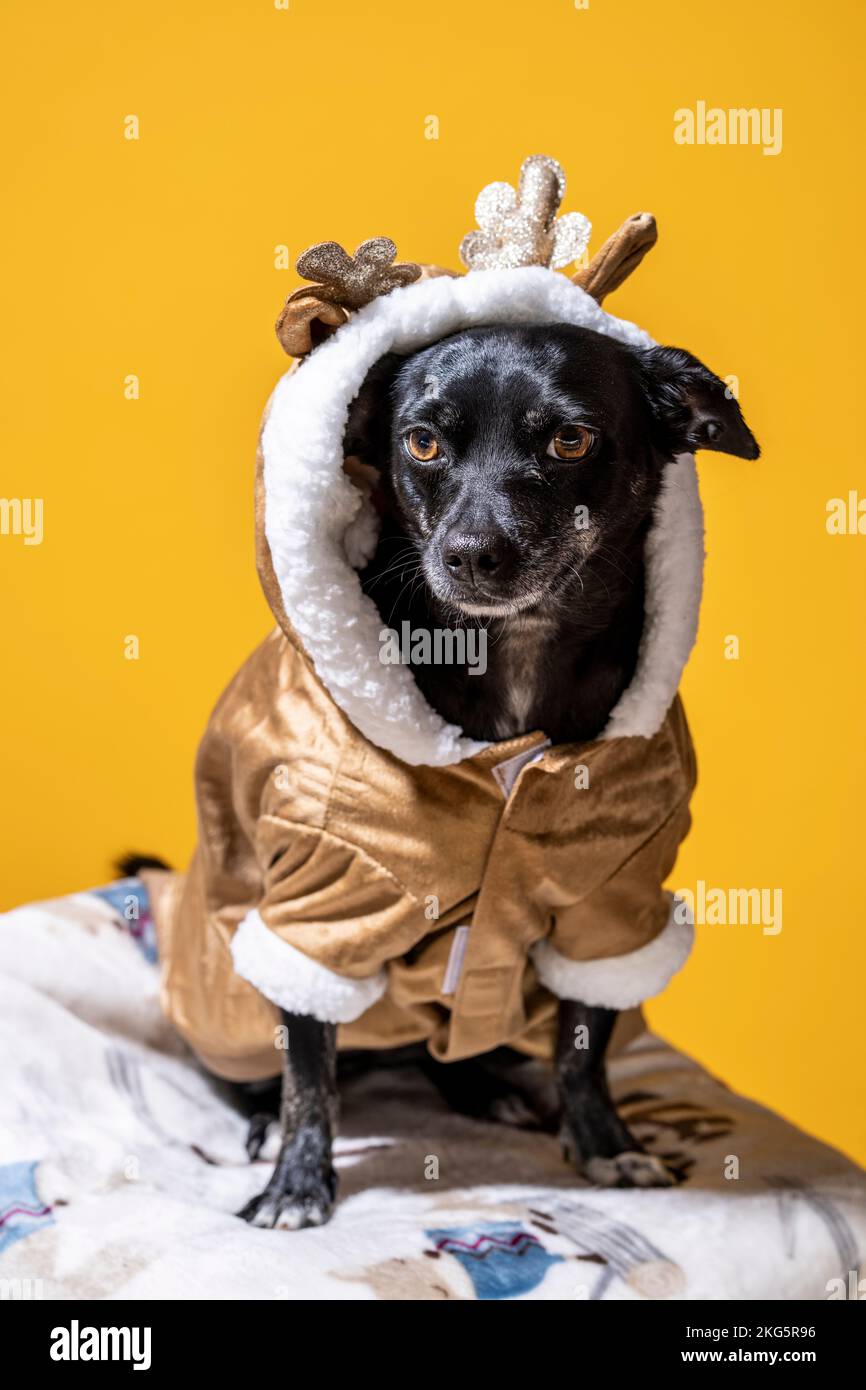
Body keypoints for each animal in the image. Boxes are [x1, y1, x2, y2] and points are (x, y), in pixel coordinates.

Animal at [234, 322, 756, 1228]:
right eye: (422, 441)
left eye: (570, 439)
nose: (473, 556)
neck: (513, 649)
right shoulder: (319, 898)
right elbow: (308, 1063)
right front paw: (296, 1181)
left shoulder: (610, 902)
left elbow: (584, 1043)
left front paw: (605, 1143)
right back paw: (265, 1117)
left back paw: (486, 1088)